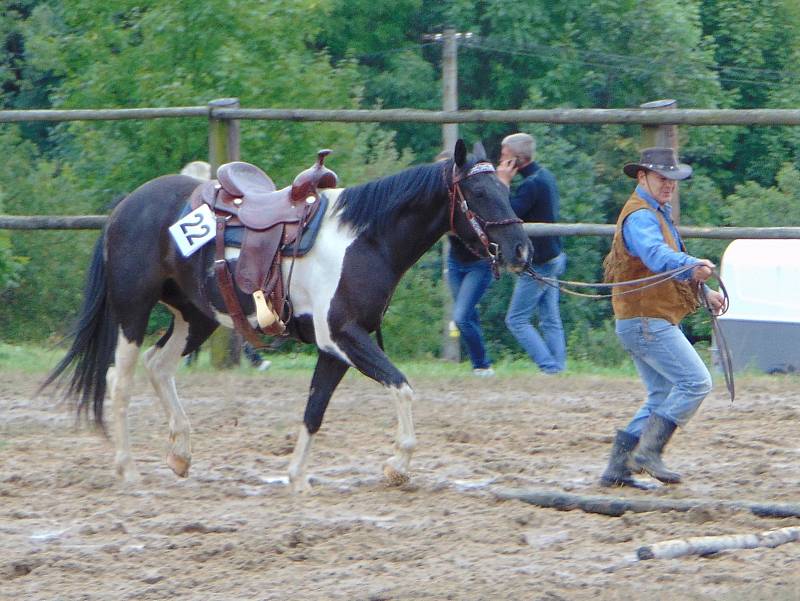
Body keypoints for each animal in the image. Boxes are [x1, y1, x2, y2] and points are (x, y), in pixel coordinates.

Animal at [43, 141, 532, 492]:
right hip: (133, 310)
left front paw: (297, 477)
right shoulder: (344, 336)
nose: (521, 251)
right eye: (479, 193)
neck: (365, 239)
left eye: (507, 190)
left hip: (196, 315)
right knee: (119, 381)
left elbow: (314, 409)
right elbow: (402, 387)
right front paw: (397, 465)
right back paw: (128, 470)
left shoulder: (334, 347)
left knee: (158, 366)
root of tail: (124, 207)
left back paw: (180, 454)